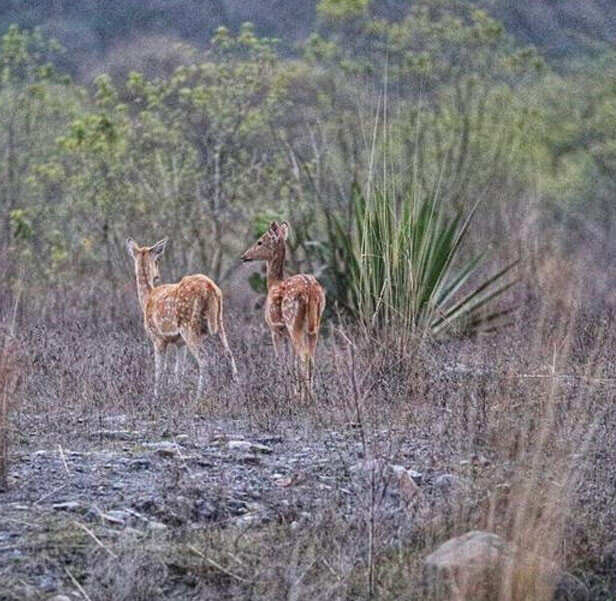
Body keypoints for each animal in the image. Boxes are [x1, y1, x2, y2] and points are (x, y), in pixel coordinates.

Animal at [126, 237, 237, 396]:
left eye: (158, 260)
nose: (157, 276)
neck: (147, 300)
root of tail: (210, 288)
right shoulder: (180, 342)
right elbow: (179, 370)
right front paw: (177, 391)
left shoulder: (157, 337)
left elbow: (159, 370)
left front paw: (157, 395)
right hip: (218, 322)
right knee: (229, 353)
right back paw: (237, 389)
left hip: (189, 326)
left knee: (204, 359)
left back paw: (199, 396)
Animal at [242, 221, 328, 398]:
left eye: (260, 241)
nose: (244, 256)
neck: (273, 284)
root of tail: (310, 291)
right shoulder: (286, 333)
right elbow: (292, 361)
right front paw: (295, 391)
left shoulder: (275, 329)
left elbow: (280, 360)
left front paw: (284, 392)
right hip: (314, 324)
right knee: (311, 358)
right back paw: (311, 396)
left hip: (293, 321)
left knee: (304, 356)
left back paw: (306, 398)